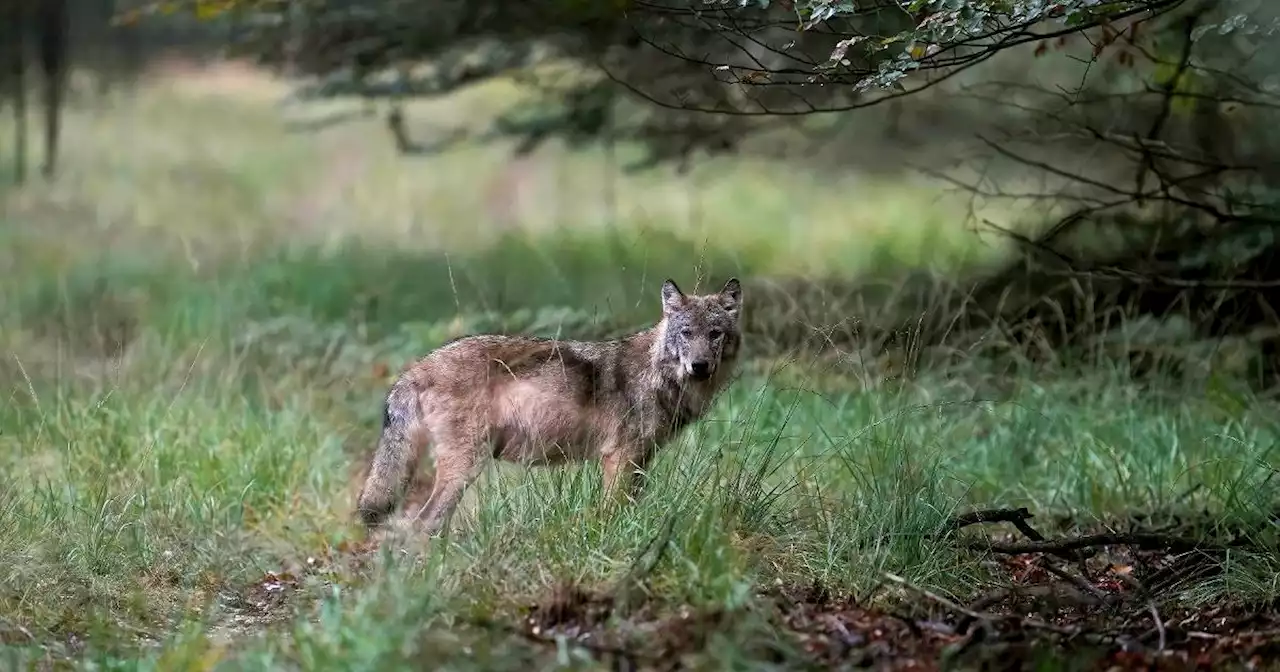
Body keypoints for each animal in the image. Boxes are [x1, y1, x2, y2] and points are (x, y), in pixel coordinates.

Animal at [355, 276, 747, 535]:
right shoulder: (619, 458)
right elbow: (611, 513)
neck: (659, 375)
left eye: (715, 334)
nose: (699, 366)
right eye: (686, 333)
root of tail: (416, 368)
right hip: (465, 467)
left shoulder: (639, 461)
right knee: (424, 524)